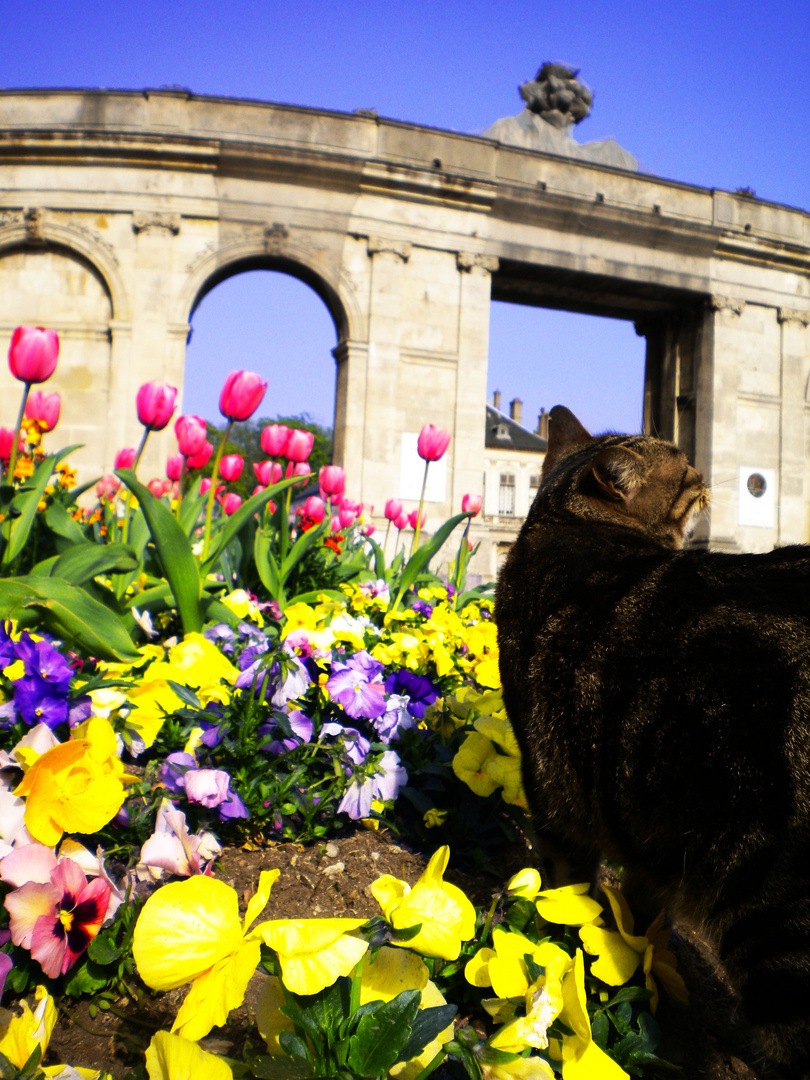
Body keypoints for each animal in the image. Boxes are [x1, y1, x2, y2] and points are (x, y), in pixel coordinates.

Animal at [498, 403, 810, 1071]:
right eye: (687, 473)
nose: (707, 474)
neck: (564, 525)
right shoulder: (619, 825)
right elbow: (627, 910)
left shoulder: (562, 797)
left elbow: (582, 890)